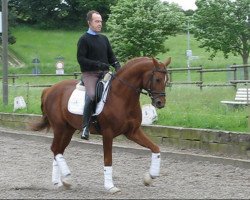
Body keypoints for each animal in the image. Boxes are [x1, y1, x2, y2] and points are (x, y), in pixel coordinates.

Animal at [31, 56, 171, 194]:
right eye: (157, 79)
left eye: (166, 80)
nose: (160, 103)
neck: (121, 97)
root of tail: (49, 89)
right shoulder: (108, 133)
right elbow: (108, 160)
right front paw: (110, 187)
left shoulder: (133, 132)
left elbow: (155, 148)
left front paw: (150, 176)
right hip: (59, 127)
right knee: (55, 149)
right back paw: (67, 178)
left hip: (68, 129)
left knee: (58, 150)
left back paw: (59, 182)